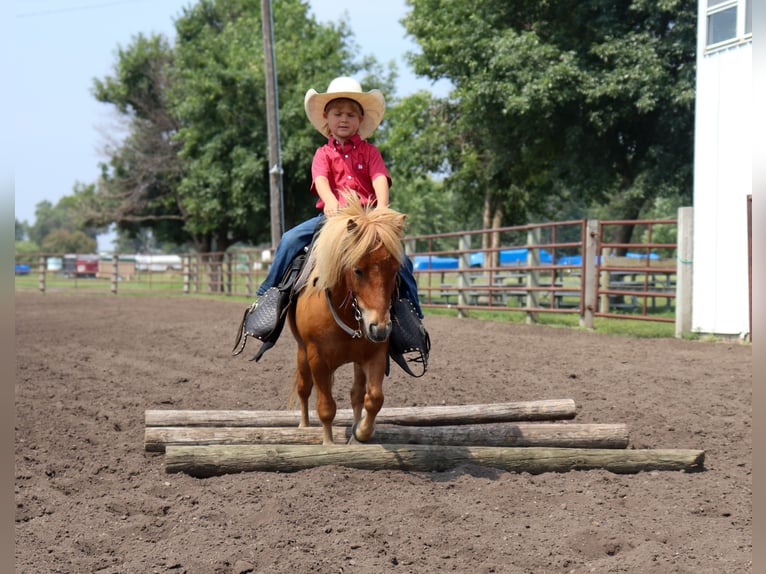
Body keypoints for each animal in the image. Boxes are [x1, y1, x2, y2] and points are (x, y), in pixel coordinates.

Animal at [288, 196, 408, 448]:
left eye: (395, 270)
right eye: (358, 270)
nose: (379, 328)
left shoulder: (375, 354)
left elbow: (373, 398)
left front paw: (361, 432)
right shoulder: (317, 358)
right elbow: (326, 406)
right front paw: (328, 443)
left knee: (356, 394)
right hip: (302, 352)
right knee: (304, 389)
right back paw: (303, 426)